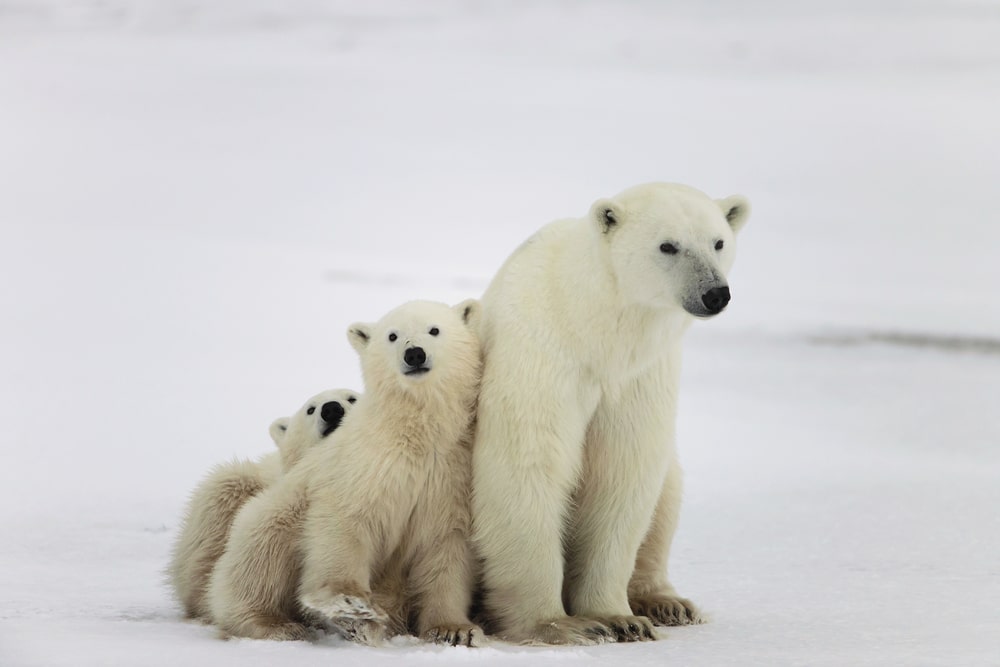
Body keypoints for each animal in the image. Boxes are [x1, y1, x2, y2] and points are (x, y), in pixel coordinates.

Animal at [208, 302, 484, 648]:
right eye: (392, 336)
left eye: (434, 329)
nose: (415, 354)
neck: (414, 433)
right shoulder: (362, 464)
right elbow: (345, 520)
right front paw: (352, 608)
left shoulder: (449, 475)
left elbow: (446, 548)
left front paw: (454, 630)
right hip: (275, 513)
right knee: (261, 556)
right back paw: (275, 625)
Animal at [472, 184, 748, 648]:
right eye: (668, 245)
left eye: (718, 242)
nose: (715, 293)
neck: (594, 328)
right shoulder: (541, 356)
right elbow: (526, 466)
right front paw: (558, 625)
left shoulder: (638, 377)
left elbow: (622, 474)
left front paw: (618, 619)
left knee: (666, 494)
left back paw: (667, 602)